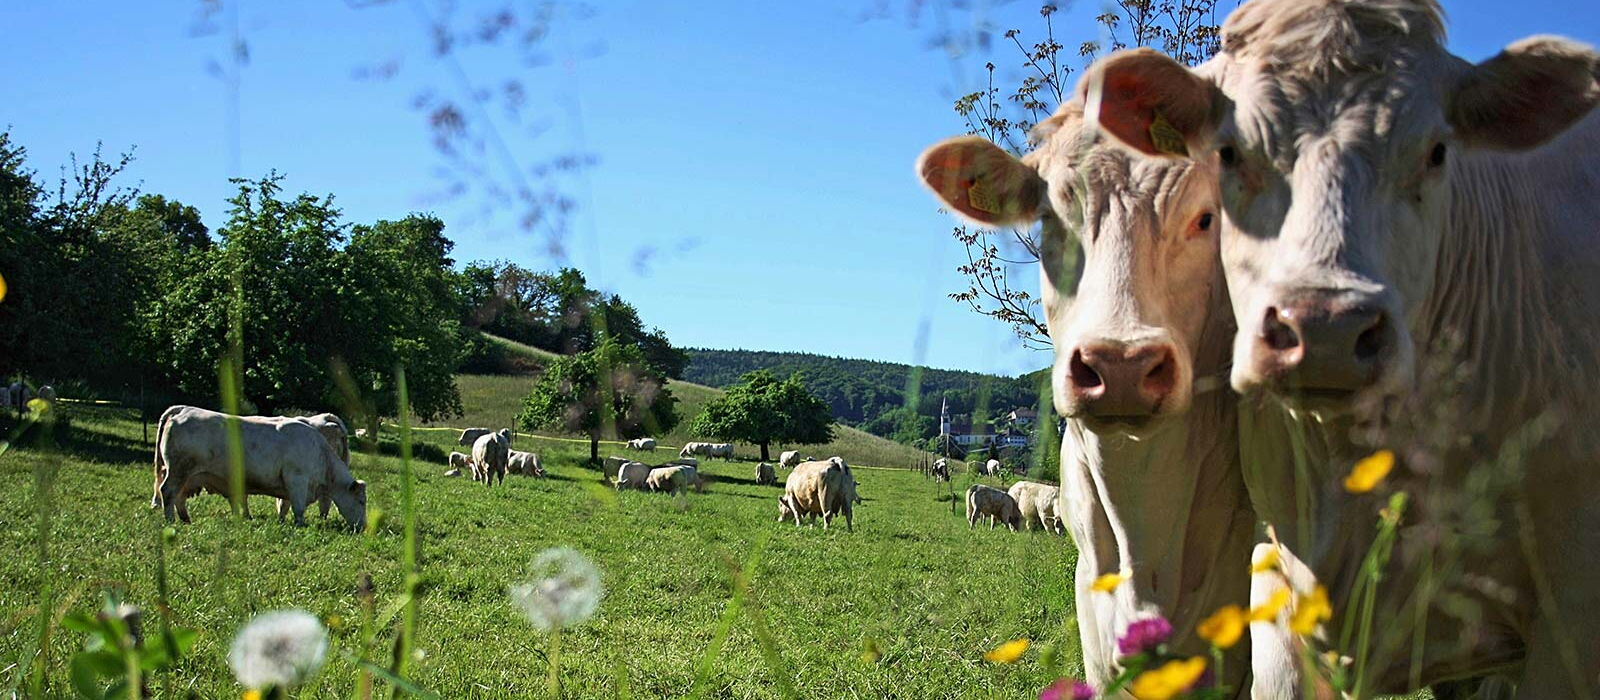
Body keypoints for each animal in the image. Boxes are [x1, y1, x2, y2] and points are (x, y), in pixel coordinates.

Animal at [154, 406, 366, 529]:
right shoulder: (296, 479)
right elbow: (297, 507)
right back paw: (171, 521)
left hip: (187, 475)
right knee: (168, 492)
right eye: (362, 502)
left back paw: (185, 519)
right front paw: (300, 525)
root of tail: (183, 410)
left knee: (179, 496)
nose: (363, 527)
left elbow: (284, 505)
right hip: (178, 470)